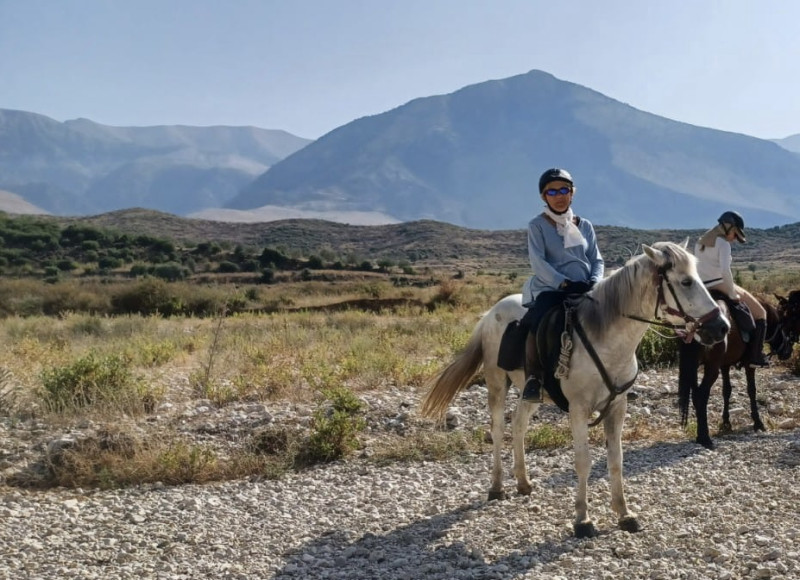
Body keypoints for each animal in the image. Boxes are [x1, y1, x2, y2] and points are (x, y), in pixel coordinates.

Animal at [422, 239, 728, 536]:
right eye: (686, 282)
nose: (722, 327)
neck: (607, 340)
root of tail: (491, 312)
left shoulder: (618, 407)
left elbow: (616, 460)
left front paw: (624, 514)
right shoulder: (579, 410)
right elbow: (583, 462)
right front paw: (582, 519)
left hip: (530, 392)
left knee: (519, 426)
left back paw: (523, 482)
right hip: (497, 383)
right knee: (498, 430)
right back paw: (497, 487)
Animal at [680, 294, 796, 448]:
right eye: (789, 325)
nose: (788, 352)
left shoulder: (725, 365)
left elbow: (727, 391)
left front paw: (726, 423)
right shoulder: (748, 364)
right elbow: (751, 390)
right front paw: (758, 422)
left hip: (693, 368)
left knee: (695, 395)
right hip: (711, 368)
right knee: (701, 395)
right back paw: (704, 437)